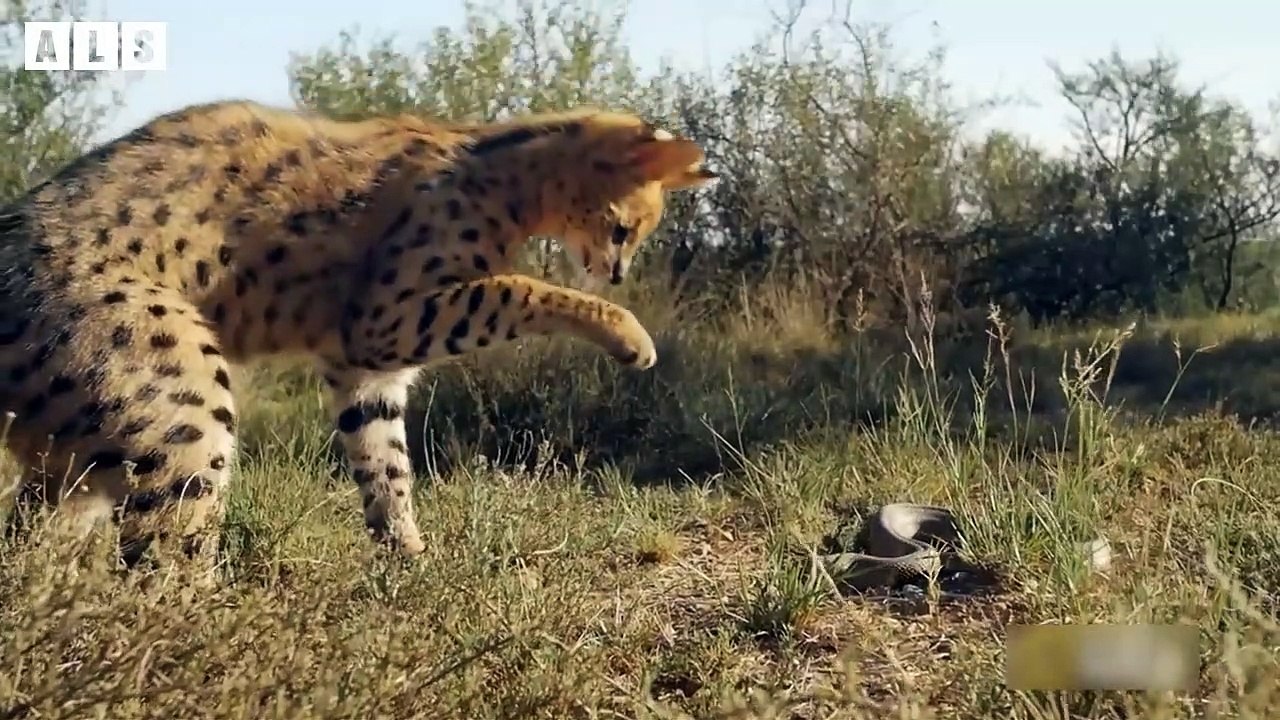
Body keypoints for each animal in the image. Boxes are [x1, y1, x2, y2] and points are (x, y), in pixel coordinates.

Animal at [0, 99, 717, 581]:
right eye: (626, 229)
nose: (619, 273)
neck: (499, 168)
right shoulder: (388, 317)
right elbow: (520, 287)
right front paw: (628, 334)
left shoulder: (365, 367)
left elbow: (385, 464)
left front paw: (408, 559)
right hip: (185, 409)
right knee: (160, 568)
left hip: (81, 458)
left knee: (29, 548)